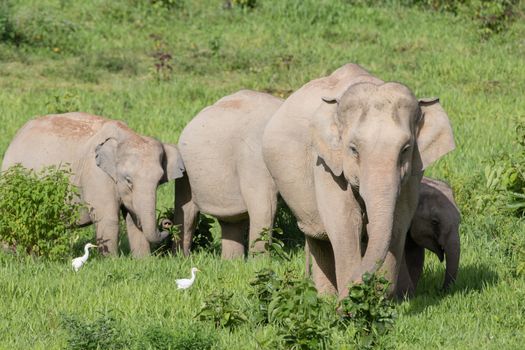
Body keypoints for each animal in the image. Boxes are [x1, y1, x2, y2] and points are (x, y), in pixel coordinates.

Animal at [1, 112, 184, 258]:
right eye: (128, 180)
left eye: (159, 181)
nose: (167, 222)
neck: (126, 135)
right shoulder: (96, 175)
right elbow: (108, 218)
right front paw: (112, 261)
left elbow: (133, 219)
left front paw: (143, 261)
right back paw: (11, 254)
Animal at [262, 63, 454, 298]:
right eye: (353, 149)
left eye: (406, 149)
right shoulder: (326, 165)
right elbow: (345, 224)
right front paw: (350, 301)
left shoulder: (414, 172)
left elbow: (398, 223)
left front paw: (383, 299)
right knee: (318, 237)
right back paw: (326, 297)